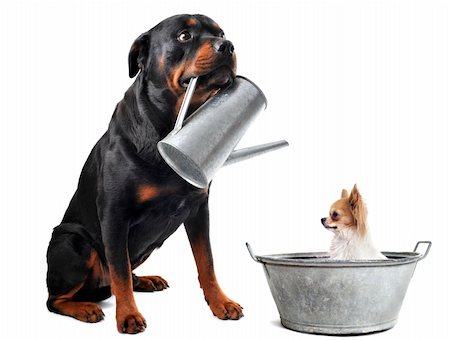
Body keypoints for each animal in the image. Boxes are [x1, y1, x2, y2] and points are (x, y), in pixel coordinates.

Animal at [46, 14, 243, 334]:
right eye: (184, 35)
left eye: (222, 33)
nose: (227, 46)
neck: (172, 125)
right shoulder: (115, 215)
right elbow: (120, 273)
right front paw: (127, 315)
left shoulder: (199, 208)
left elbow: (207, 261)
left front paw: (220, 302)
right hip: (71, 240)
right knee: (57, 298)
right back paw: (85, 308)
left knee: (120, 276)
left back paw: (145, 280)